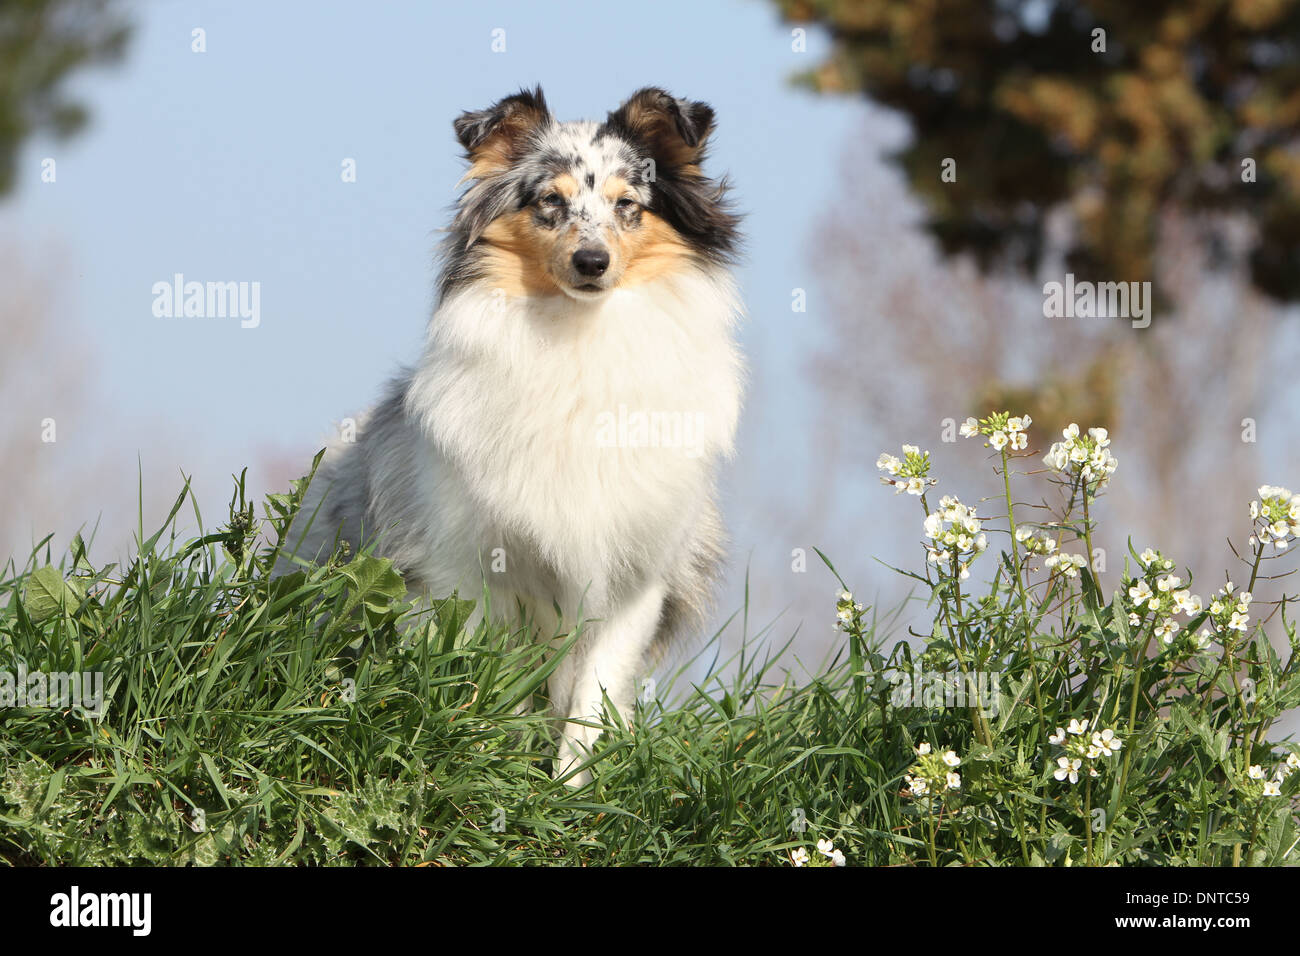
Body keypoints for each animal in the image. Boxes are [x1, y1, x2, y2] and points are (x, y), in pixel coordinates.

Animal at [289, 85, 748, 780]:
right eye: (550, 201)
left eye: (627, 205)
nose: (592, 262)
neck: (578, 343)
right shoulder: (462, 565)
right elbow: (480, 680)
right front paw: (482, 766)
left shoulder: (637, 579)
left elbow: (592, 701)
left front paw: (567, 790)